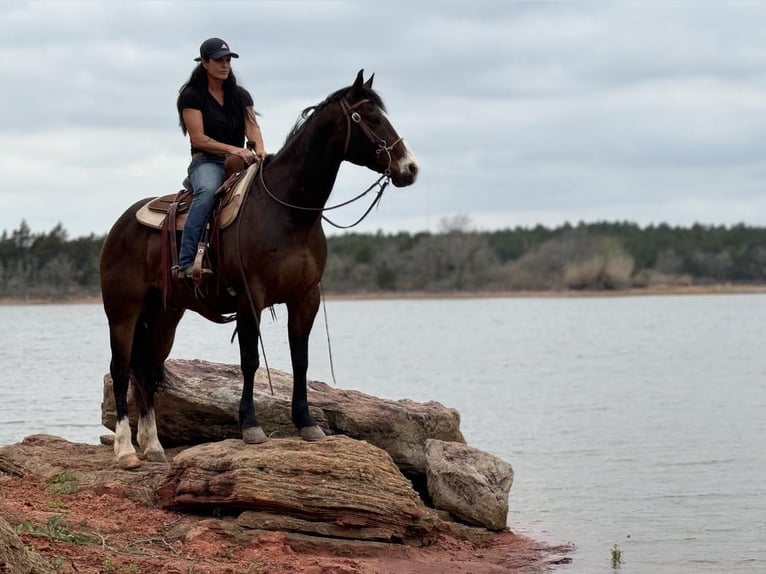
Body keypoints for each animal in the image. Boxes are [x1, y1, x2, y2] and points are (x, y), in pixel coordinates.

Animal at [100, 71, 420, 472]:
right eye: (371, 118)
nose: (410, 167)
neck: (289, 212)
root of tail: (119, 226)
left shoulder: (305, 297)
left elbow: (301, 359)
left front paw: (307, 423)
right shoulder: (250, 297)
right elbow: (250, 361)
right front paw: (251, 426)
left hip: (163, 316)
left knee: (147, 369)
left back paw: (154, 445)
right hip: (123, 312)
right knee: (122, 368)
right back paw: (126, 450)